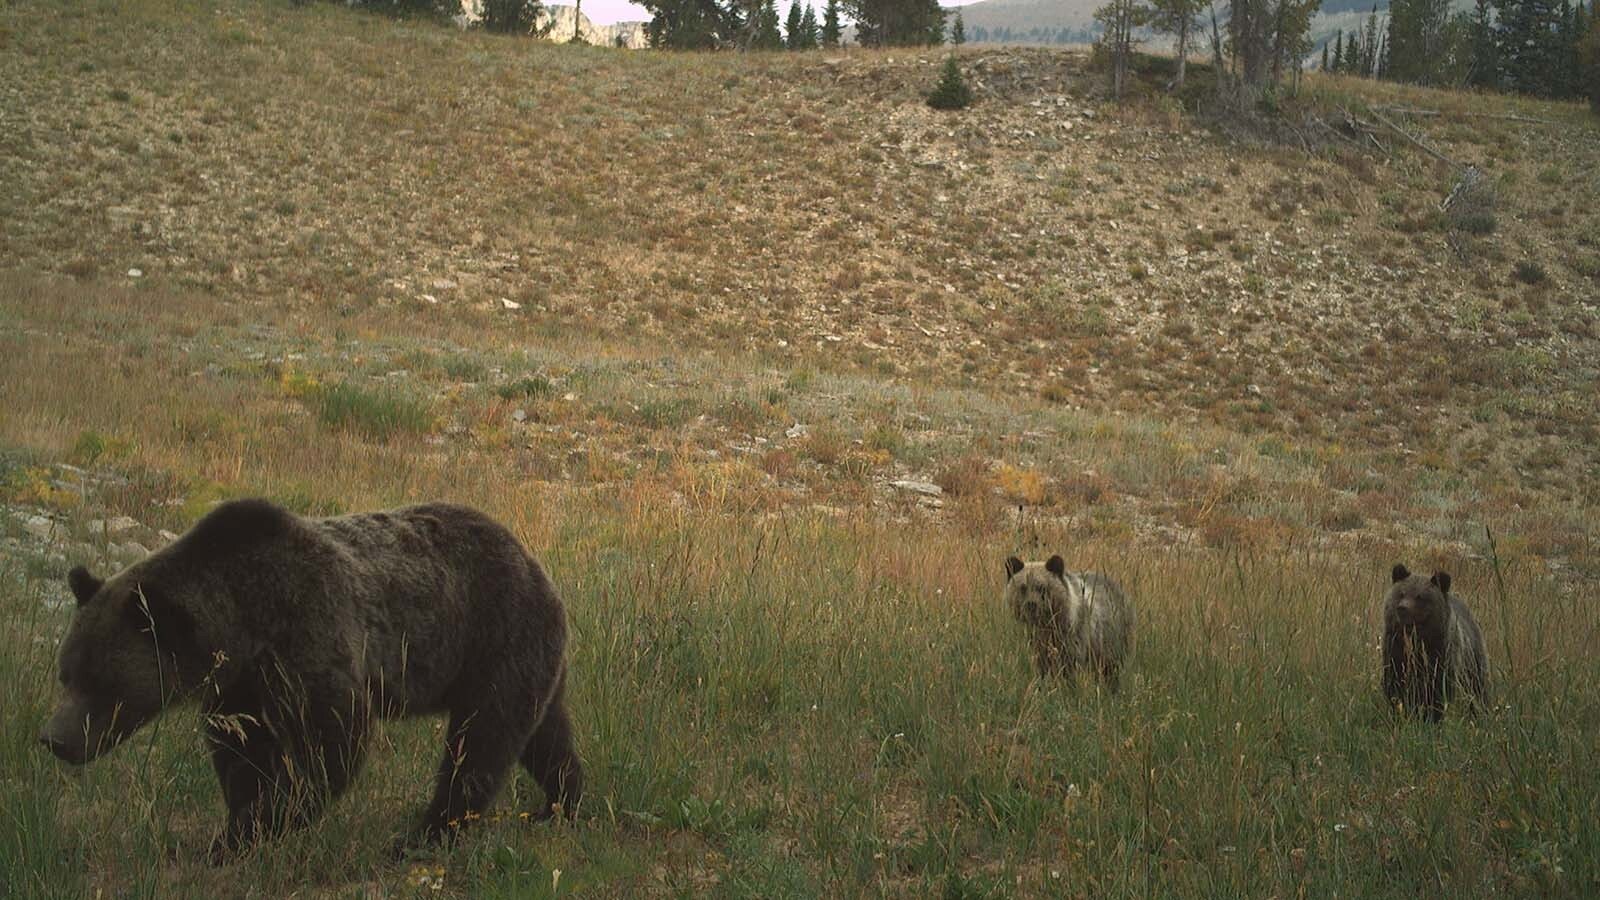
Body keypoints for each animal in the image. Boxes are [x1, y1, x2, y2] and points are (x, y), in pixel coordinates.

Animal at [40, 498, 581, 861]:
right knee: (546, 737)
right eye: (66, 673)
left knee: (480, 744)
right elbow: (242, 755)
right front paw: (235, 830)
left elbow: (330, 744)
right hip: (525, 659)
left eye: (103, 684)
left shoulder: (308, 633)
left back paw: (423, 835)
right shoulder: (239, 686)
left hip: (495, 639)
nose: (54, 739)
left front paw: (266, 822)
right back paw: (559, 805)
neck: (244, 620)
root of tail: (535, 563)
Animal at [1004, 554, 1134, 691]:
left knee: (1111, 668)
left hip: (1113, 637)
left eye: (1041, 587)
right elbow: (1043, 668)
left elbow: (1070, 668)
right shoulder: (1039, 644)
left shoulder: (1073, 639)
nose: (1031, 604)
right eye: (1023, 587)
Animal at [1381, 563, 1488, 722]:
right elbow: (1395, 688)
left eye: (1420, 597)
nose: (1402, 608)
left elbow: (1438, 694)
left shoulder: (1441, 655)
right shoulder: (1395, 652)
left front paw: (1431, 718)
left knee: (1478, 692)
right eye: (1401, 593)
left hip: (1474, 661)